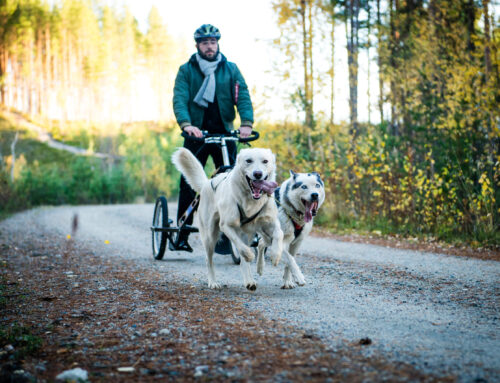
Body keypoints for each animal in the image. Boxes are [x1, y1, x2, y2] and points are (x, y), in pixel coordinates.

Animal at [172, 148, 284, 292]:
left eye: (265, 161)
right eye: (248, 160)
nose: (257, 174)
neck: (251, 201)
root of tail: (207, 183)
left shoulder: (270, 223)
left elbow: (279, 234)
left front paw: (276, 254)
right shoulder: (227, 226)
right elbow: (241, 247)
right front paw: (249, 255)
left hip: (251, 233)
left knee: (252, 251)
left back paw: (250, 280)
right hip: (210, 236)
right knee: (210, 260)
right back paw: (213, 282)